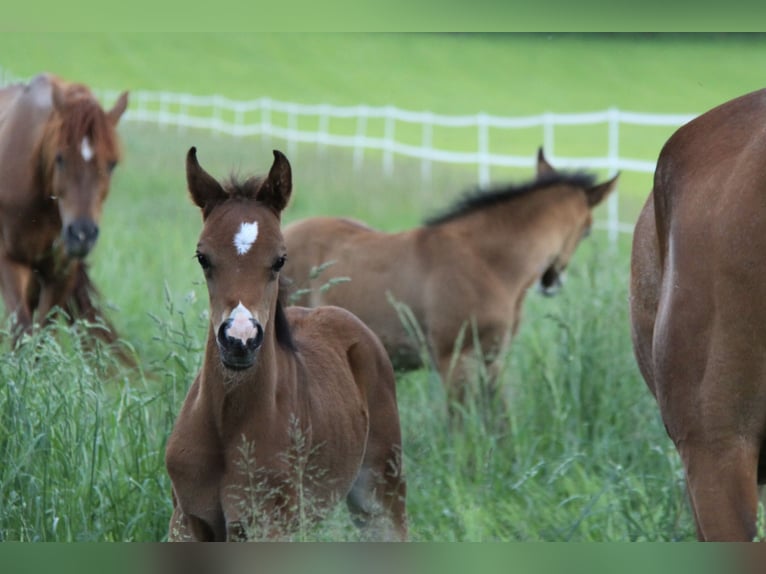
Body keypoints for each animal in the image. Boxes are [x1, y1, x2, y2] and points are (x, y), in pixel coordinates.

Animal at [0, 74, 128, 346]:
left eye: (111, 164)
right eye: (60, 158)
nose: (82, 234)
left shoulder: (61, 273)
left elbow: (42, 334)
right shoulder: (9, 261)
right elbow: (22, 330)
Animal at [166, 146, 412, 544]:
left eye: (280, 259)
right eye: (203, 256)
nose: (239, 340)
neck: (227, 425)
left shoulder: (270, 525)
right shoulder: (187, 521)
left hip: (381, 494)